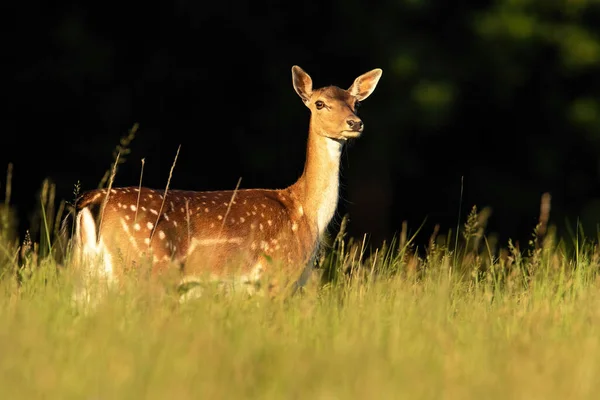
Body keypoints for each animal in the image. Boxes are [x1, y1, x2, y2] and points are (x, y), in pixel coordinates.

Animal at [69, 65, 380, 304]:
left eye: (356, 103)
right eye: (319, 103)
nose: (355, 123)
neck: (305, 213)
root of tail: (95, 199)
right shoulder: (277, 274)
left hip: (87, 270)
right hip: (139, 269)